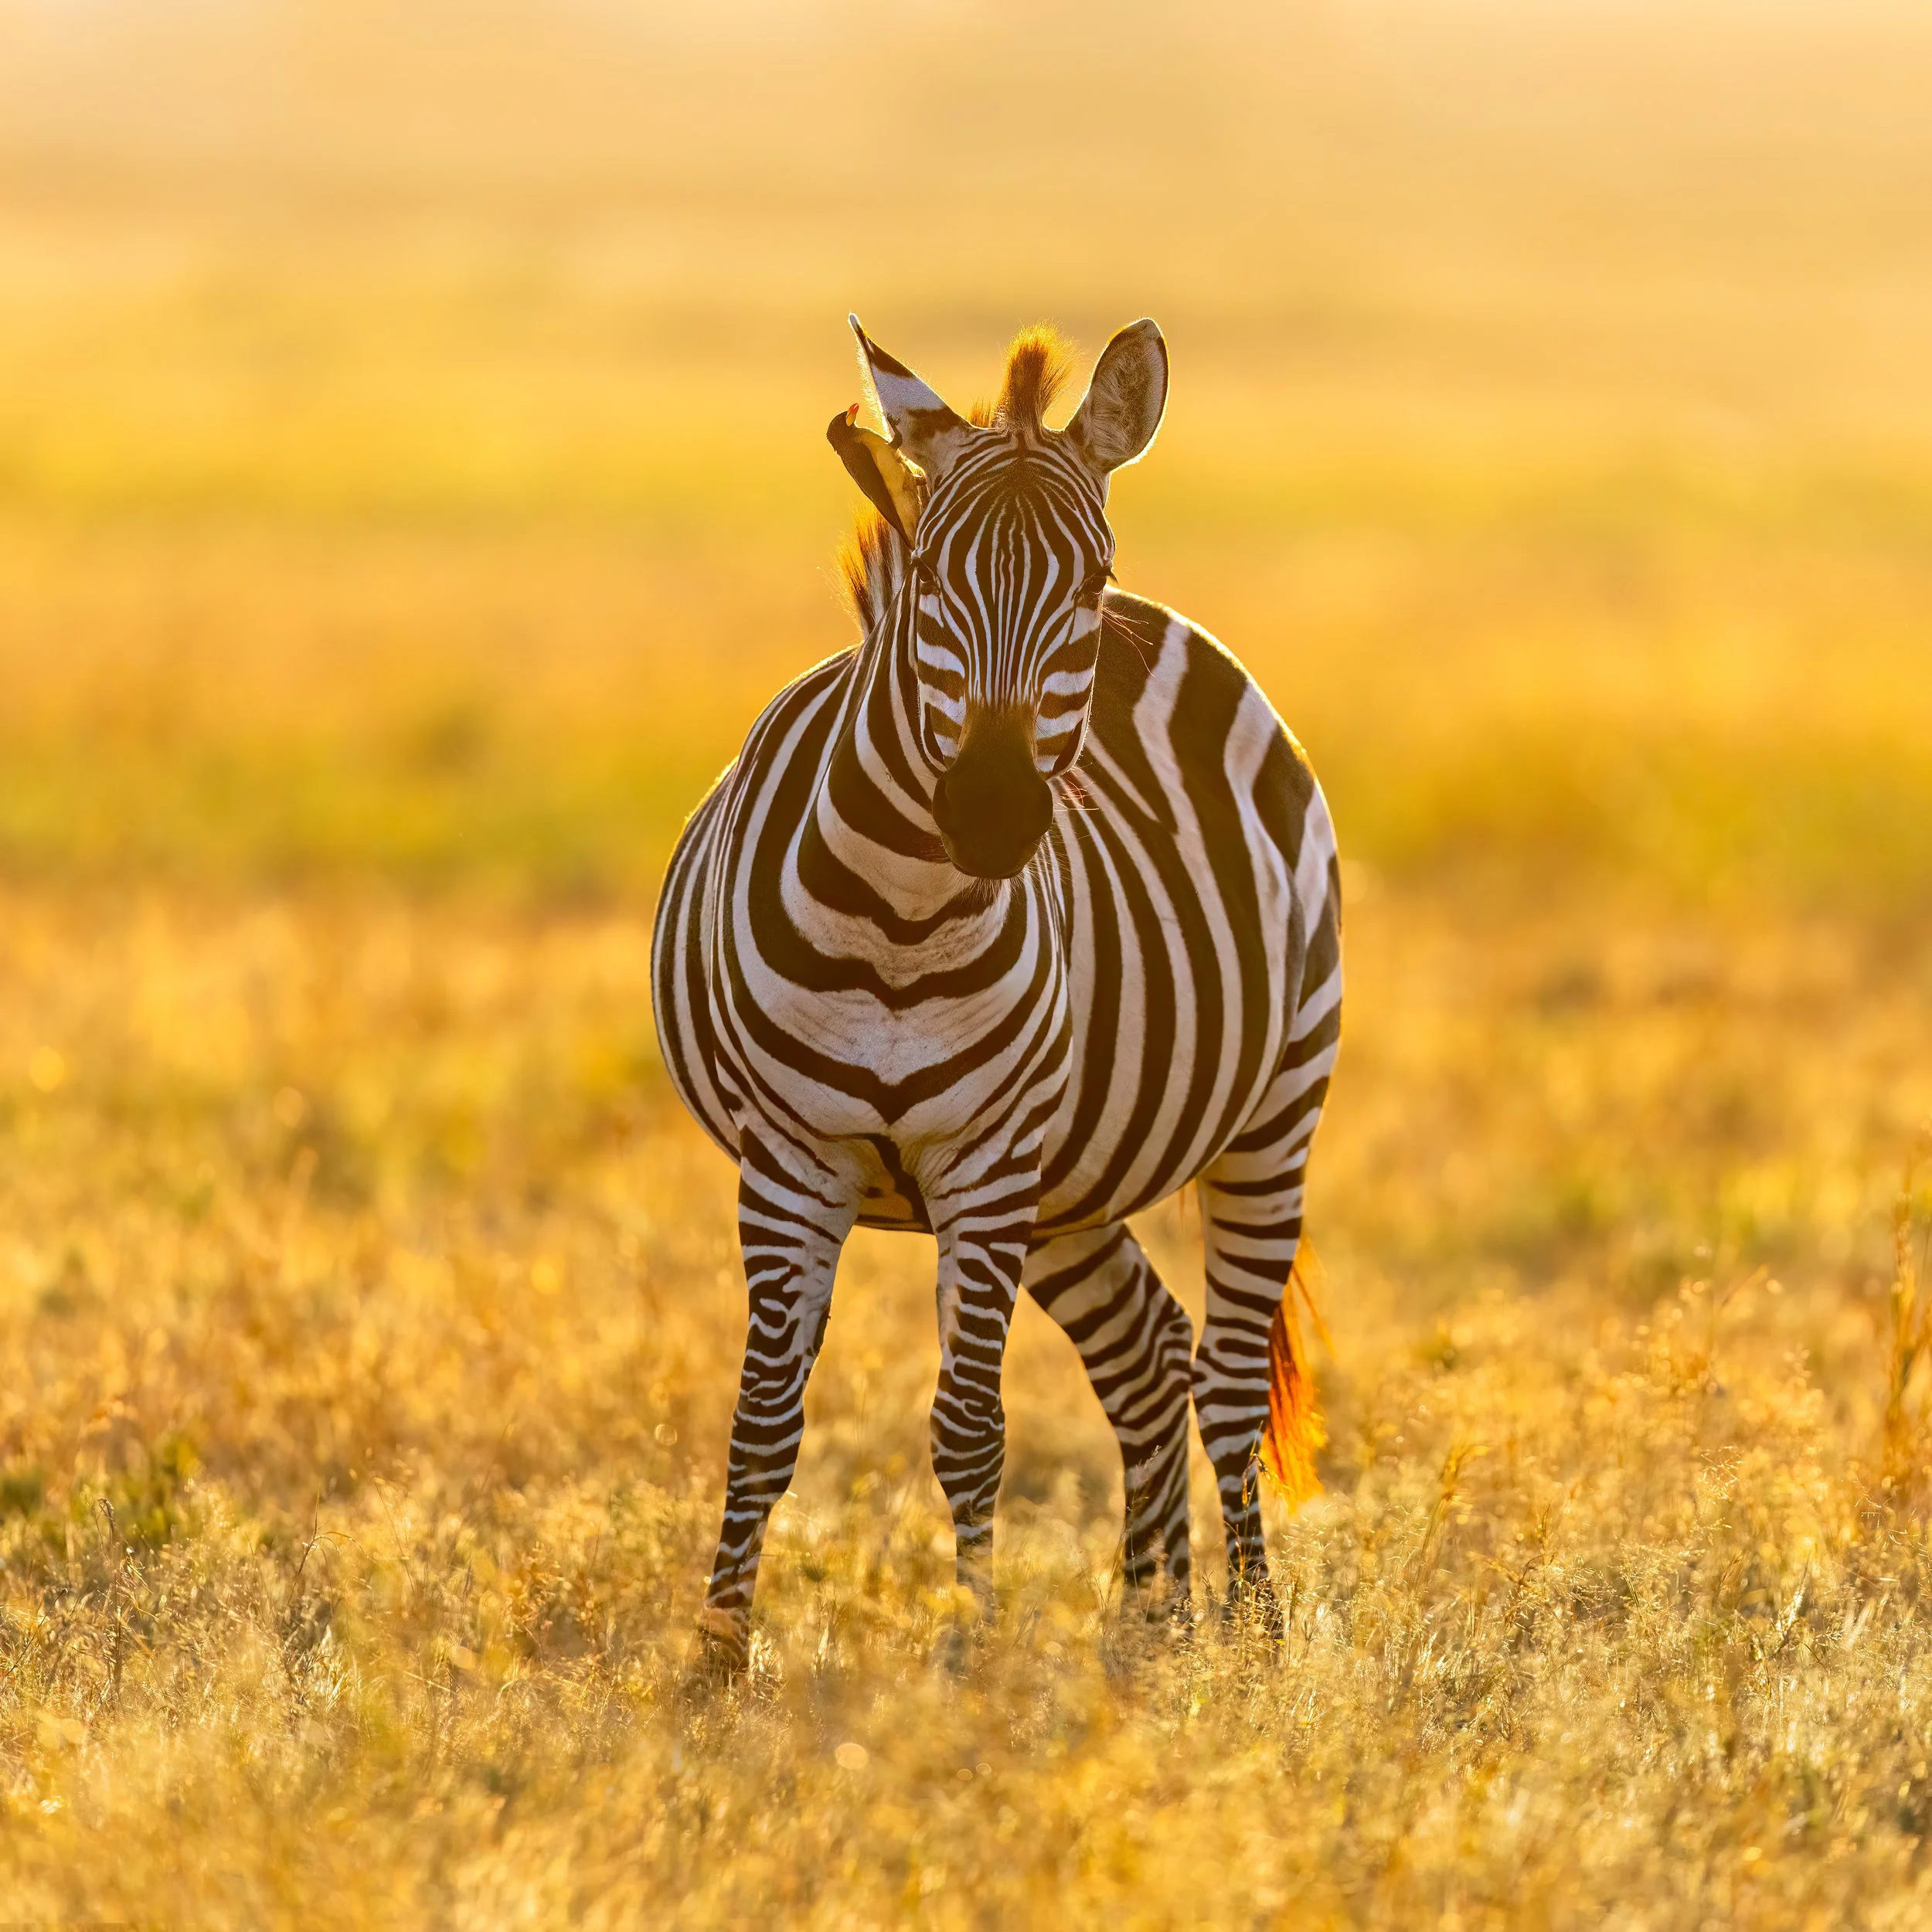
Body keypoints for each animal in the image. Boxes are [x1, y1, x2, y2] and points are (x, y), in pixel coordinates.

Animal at [651, 315, 1342, 1674]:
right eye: (929, 573)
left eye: (1086, 582)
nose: (992, 813)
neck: (902, 921)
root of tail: (1179, 630)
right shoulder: (791, 1159)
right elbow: (764, 1419)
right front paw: (715, 1655)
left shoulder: (984, 1162)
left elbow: (969, 1428)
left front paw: (967, 1658)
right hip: (1073, 1183)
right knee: (1149, 1354)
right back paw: (1150, 1619)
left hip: (1268, 1111)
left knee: (1230, 1380)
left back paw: (1249, 1628)